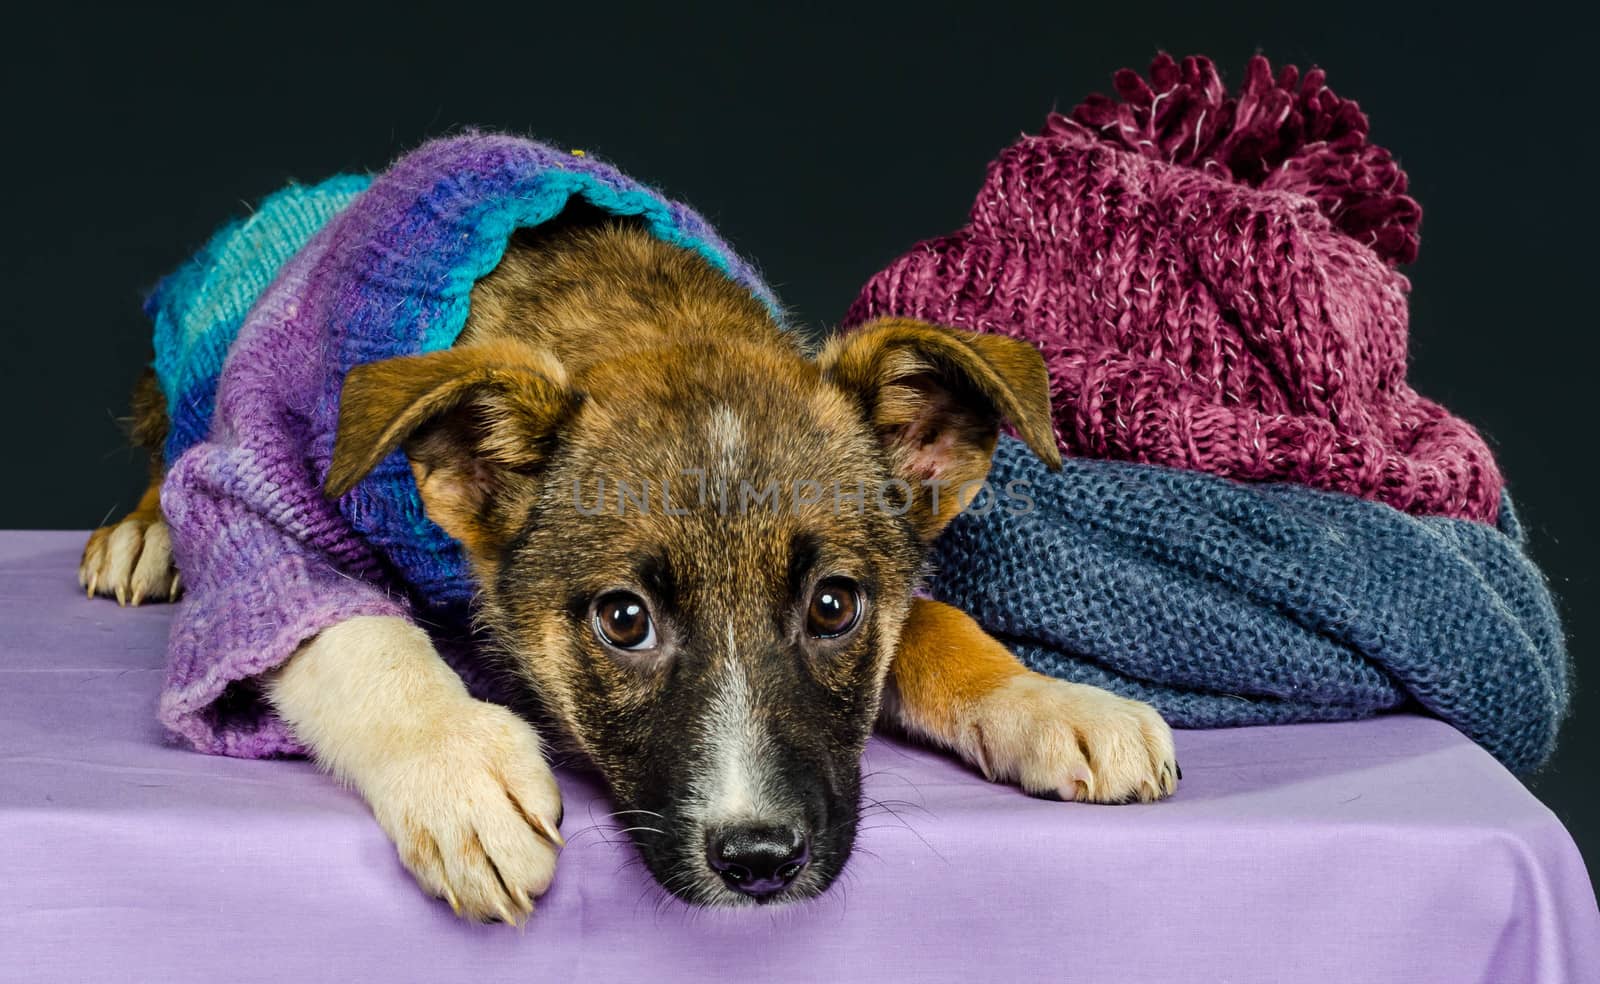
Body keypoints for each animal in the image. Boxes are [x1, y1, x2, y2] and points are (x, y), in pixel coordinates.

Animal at [78, 214, 1177, 921]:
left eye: (834, 605)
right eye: (623, 620)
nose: (759, 861)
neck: (645, 315)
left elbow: (939, 623)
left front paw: (1051, 702)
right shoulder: (268, 513)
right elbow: (347, 630)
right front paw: (459, 770)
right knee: (179, 460)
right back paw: (142, 533)